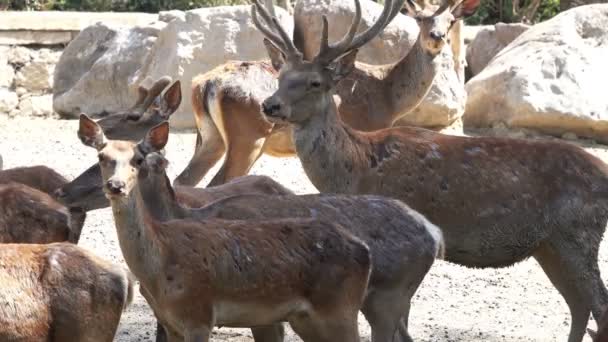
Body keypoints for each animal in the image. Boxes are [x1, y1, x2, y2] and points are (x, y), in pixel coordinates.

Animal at [76, 115, 370, 342]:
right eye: (101, 156)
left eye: (137, 159)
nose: (116, 186)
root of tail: (364, 251)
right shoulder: (171, 323)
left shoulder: (199, 315)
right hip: (306, 319)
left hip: (339, 309)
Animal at [173, 0, 478, 187]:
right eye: (421, 21)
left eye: (451, 21)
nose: (436, 37)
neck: (387, 95)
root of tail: (204, 84)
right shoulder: (368, 130)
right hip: (248, 138)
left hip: (210, 137)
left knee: (183, 181)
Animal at [254, 1, 608, 340]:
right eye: (280, 76)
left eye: (315, 82)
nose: (269, 105)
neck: (357, 168)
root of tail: (603, 172)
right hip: (549, 245)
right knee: (578, 305)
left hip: (577, 234)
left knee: (597, 305)